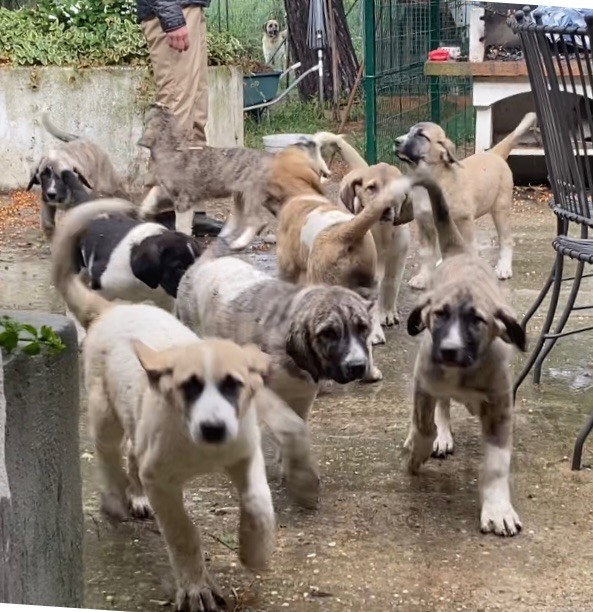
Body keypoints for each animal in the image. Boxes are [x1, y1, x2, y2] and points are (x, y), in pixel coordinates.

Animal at [52, 198, 320, 608]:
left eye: (234, 386)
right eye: (187, 388)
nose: (214, 429)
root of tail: (114, 310)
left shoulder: (246, 454)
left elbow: (258, 502)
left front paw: (254, 550)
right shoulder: (162, 481)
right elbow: (182, 533)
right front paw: (196, 587)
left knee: (131, 453)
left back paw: (135, 497)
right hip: (104, 410)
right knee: (110, 454)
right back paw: (116, 499)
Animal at [173, 246, 372, 500]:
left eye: (363, 328)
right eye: (328, 333)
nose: (357, 366)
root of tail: (205, 259)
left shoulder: (303, 395)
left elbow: (298, 425)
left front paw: (289, 464)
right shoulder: (261, 390)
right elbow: (293, 427)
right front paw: (303, 480)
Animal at [394, 112, 536, 290]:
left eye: (421, 135)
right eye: (409, 131)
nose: (396, 141)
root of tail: (493, 153)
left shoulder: (463, 221)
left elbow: (468, 248)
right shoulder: (425, 225)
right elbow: (427, 255)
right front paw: (423, 277)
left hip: (500, 209)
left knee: (506, 240)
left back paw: (503, 268)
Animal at [402, 169, 528, 536]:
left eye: (477, 321)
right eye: (439, 315)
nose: (448, 351)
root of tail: (460, 252)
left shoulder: (500, 406)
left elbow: (497, 464)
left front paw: (498, 508)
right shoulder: (424, 382)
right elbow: (424, 425)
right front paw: (419, 450)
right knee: (440, 409)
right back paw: (435, 437)